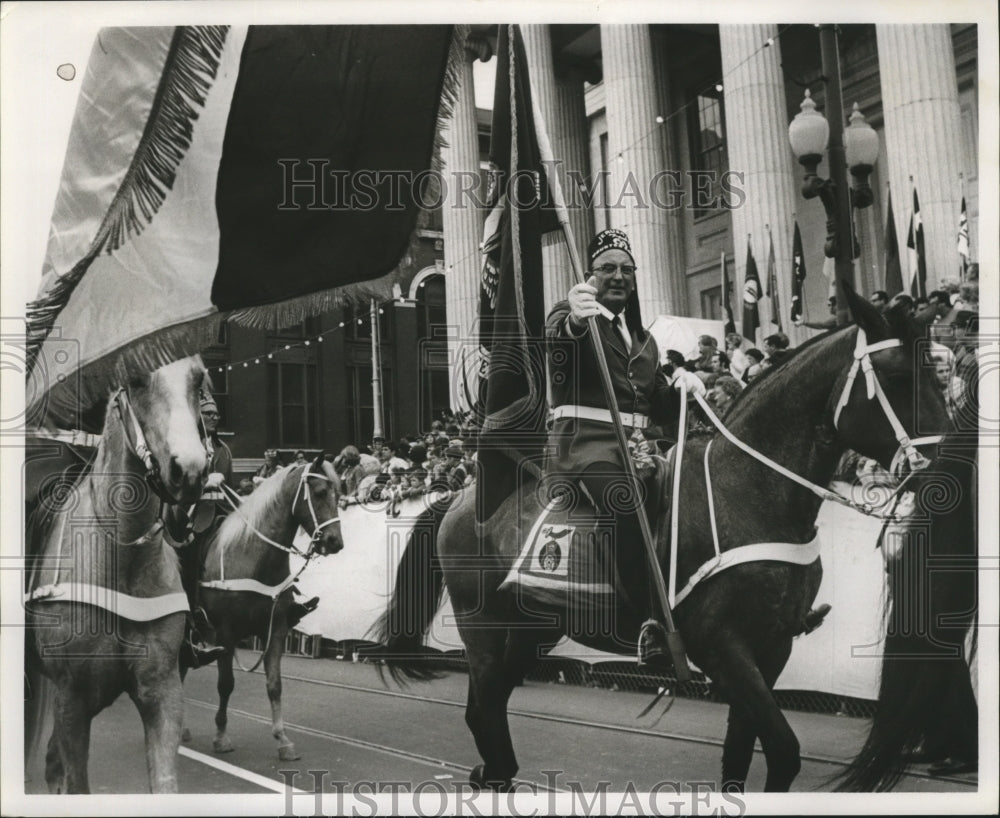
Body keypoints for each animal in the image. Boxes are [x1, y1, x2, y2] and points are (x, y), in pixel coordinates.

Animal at [25, 356, 210, 792]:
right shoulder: (71, 698)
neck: (121, 559)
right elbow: (76, 782)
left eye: (198, 379)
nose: (190, 473)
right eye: (137, 378)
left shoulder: (162, 691)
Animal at [184, 452, 344, 760]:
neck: (251, 555)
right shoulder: (226, 634)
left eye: (339, 495)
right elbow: (226, 684)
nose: (335, 542)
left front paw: (283, 740)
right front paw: (221, 737)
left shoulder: (276, 630)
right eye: (319, 493)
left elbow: (275, 685)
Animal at [372, 286, 948, 792]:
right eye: (898, 376)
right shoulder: (723, 645)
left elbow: (741, 754)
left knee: (485, 709)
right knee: (484, 705)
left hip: (532, 630)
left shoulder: (772, 645)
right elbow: (783, 751)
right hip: (485, 628)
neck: (750, 491)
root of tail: (461, 495)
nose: (946, 468)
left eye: (940, 376)